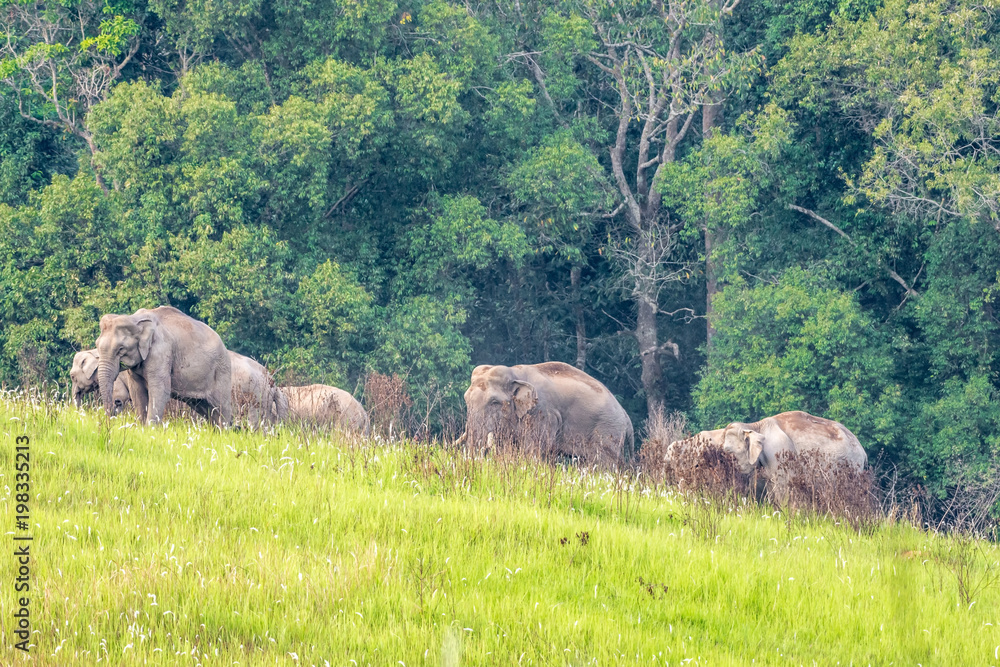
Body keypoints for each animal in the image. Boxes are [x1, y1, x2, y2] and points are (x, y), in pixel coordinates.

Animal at [95, 306, 233, 426]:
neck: (135, 319)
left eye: (121, 349)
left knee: (221, 407)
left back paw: (224, 432)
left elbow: (159, 391)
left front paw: (150, 430)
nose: (116, 403)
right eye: (96, 345)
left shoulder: (161, 351)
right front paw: (141, 428)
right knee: (206, 408)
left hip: (222, 371)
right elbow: (137, 392)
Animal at [462, 361, 634, 466]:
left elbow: (532, 450)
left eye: (494, 402)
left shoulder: (542, 413)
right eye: (465, 399)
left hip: (608, 430)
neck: (515, 373)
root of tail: (626, 416)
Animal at [720, 410, 867, 500]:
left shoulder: (778, 451)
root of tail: (863, 450)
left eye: (728, 451)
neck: (754, 426)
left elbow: (783, 488)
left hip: (852, 464)